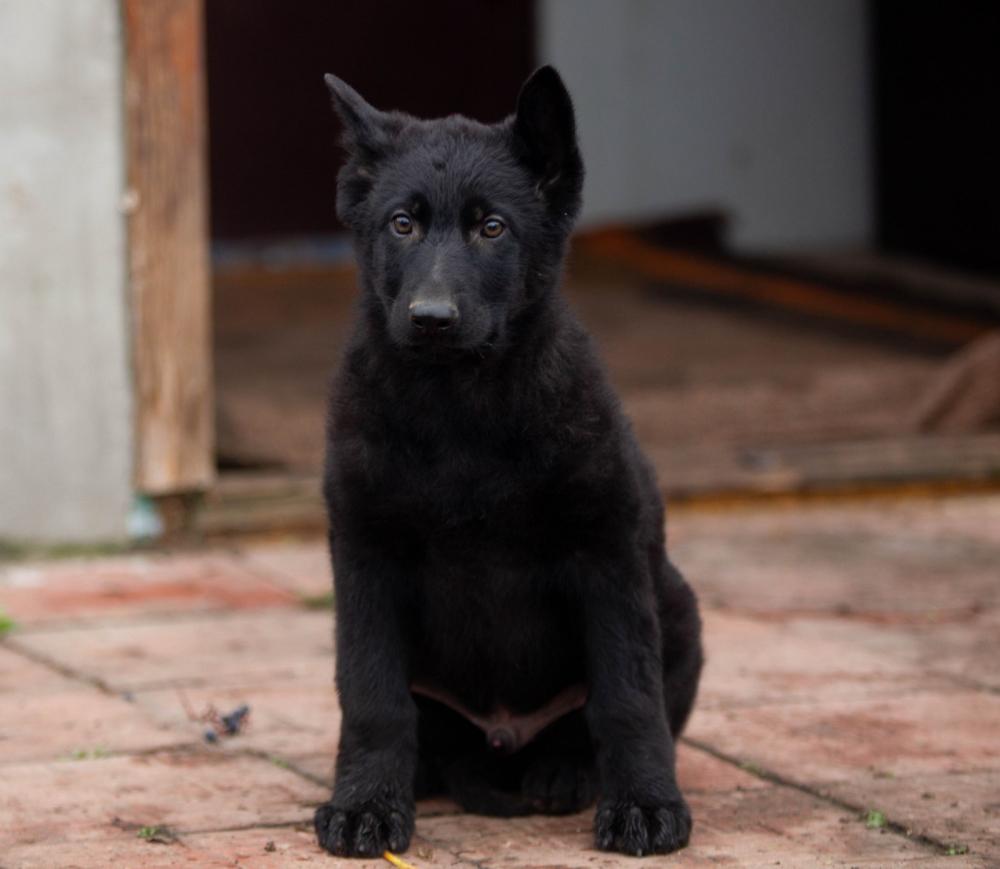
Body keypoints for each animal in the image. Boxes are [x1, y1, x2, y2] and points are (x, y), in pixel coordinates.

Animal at [314, 66, 704, 856]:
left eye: (492, 228)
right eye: (401, 223)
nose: (432, 318)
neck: (461, 408)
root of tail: (500, 737)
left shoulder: (607, 553)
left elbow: (628, 697)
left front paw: (645, 803)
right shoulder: (366, 555)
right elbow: (372, 697)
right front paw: (365, 805)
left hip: (677, 605)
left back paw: (564, 773)